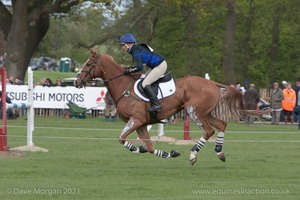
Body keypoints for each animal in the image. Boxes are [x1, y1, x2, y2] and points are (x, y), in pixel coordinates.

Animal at [75, 50, 262, 166]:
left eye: (88, 64)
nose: (76, 81)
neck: (123, 87)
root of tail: (212, 83)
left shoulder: (136, 120)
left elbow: (122, 139)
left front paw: (136, 148)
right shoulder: (142, 124)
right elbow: (150, 148)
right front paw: (168, 154)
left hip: (194, 112)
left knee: (209, 131)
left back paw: (193, 155)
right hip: (205, 113)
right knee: (222, 125)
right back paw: (219, 152)